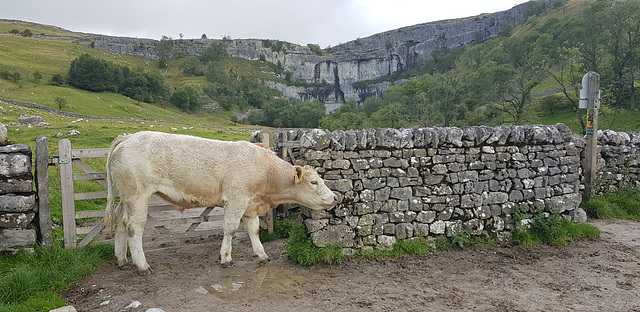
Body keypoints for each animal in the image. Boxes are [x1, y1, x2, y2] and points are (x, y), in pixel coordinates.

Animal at [104, 131, 340, 272]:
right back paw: (142, 265)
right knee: (134, 227)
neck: (265, 172)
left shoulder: (250, 204)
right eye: (313, 182)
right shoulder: (237, 199)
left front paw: (262, 254)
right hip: (138, 195)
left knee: (120, 222)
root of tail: (127, 137)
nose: (336, 197)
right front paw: (226, 258)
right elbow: (231, 228)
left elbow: (254, 230)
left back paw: (122, 260)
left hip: (126, 197)